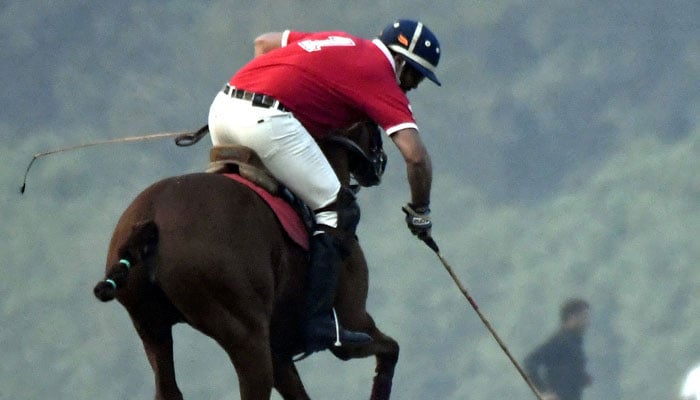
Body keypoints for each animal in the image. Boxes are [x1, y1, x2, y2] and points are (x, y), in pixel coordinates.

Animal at [93, 123, 400, 398]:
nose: (379, 164)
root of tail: (151, 217)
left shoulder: (280, 354)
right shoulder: (353, 325)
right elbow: (390, 349)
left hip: (151, 327)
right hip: (246, 336)